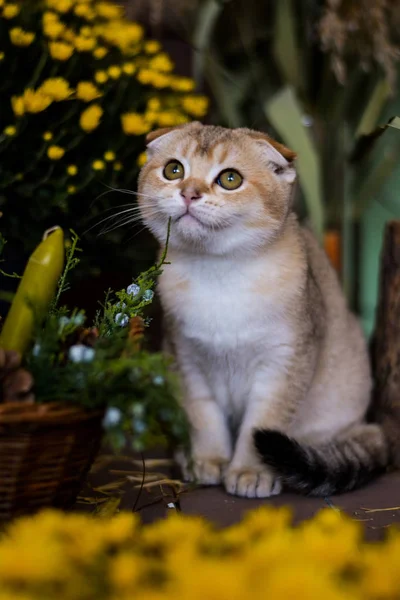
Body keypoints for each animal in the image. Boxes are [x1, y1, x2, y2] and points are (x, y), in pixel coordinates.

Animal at [137, 120, 388, 496]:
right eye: (173, 170)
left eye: (230, 179)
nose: (189, 193)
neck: (219, 273)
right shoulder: (186, 359)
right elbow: (203, 416)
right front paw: (208, 460)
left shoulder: (284, 363)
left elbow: (261, 423)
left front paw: (249, 471)